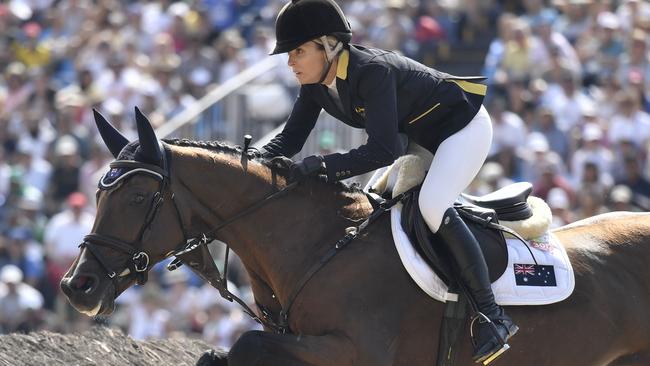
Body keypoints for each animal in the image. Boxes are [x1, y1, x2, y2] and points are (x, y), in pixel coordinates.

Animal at [62, 108, 648, 366]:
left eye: (139, 198)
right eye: (97, 193)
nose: (76, 286)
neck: (319, 245)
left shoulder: (354, 351)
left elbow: (246, 345)